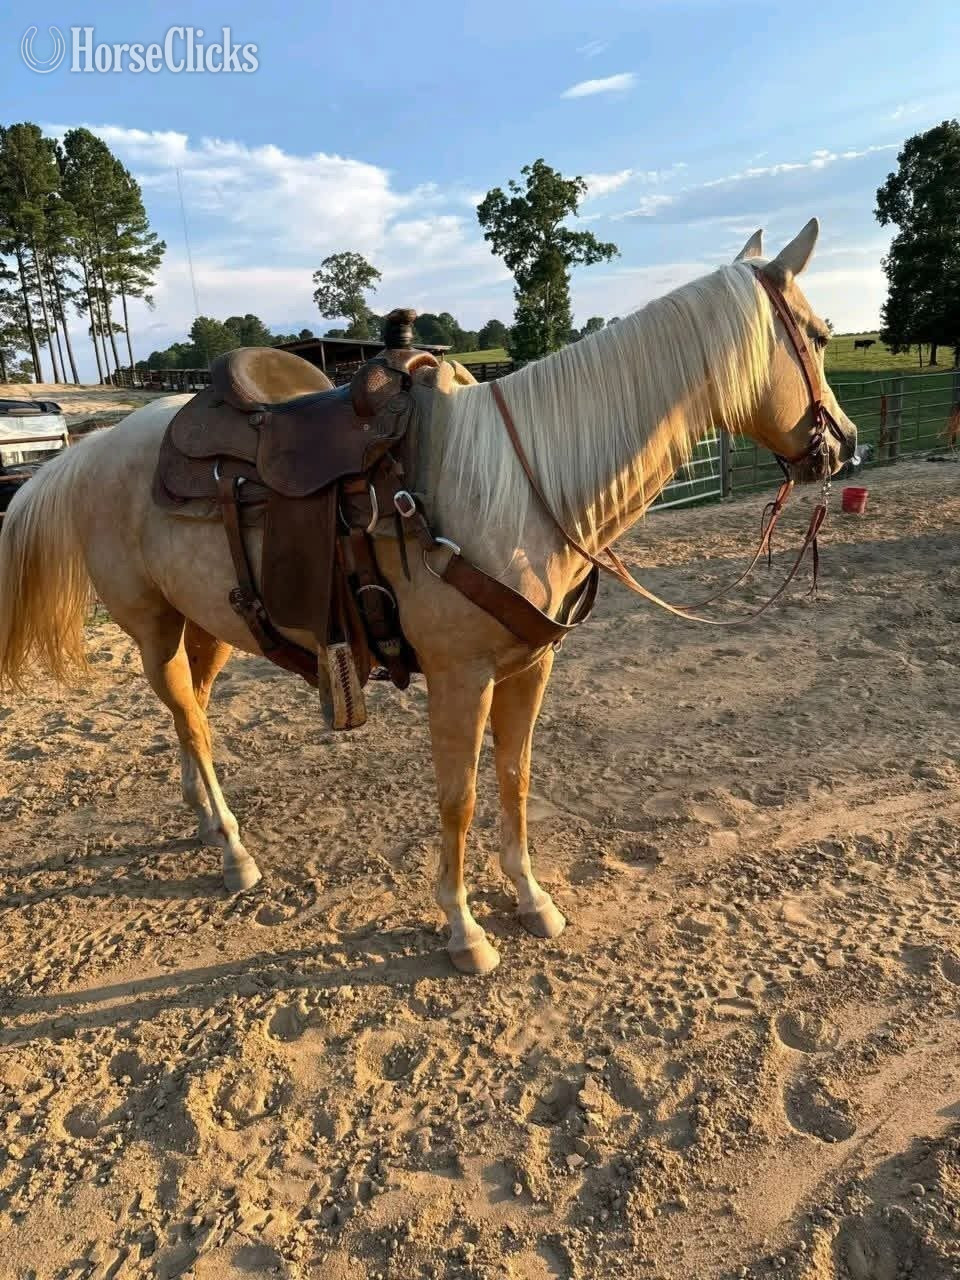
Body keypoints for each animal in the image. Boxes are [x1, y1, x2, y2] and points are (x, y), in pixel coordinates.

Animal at [0, 219, 857, 975]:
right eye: (817, 336)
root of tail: (95, 448)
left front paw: (531, 897)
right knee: (185, 715)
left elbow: (515, 780)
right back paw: (235, 851)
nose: (843, 446)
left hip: (206, 623)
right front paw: (463, 928)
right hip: (152, 628)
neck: (521, 484)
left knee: (196, 717)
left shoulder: (528, 668)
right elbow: (460, 797)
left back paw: (208, 820)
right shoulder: (459, 678)